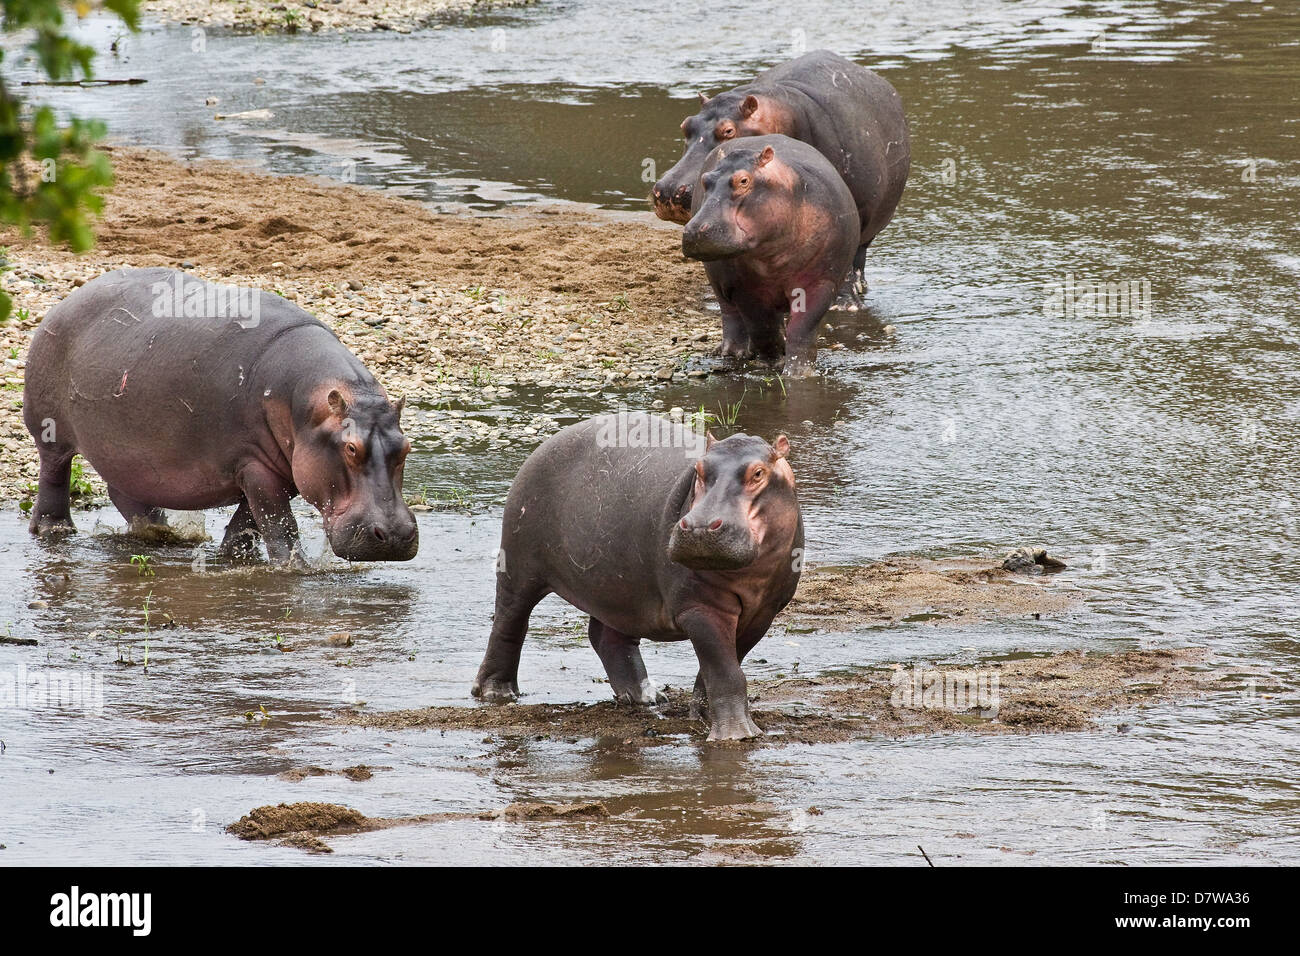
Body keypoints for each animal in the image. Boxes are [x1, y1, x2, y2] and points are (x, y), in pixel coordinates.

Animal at [22, 267, 418, 567]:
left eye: (407, 447)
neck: (306, 403)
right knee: (54, 474)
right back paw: (56, 531)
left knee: (125, 492)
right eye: (350, 449)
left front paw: (232, 555)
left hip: (129, 455)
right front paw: (296, 568)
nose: (395, 535)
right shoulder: (258, 465)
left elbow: (250, 520)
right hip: (49, 429)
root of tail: (69, 299)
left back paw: (161, 532)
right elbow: (279, 524)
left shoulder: (278, 465)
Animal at [475, 411, 800, 738]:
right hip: (519, 566)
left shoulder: (763, 612)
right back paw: (497, 692)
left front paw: (704, 715)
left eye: (758, 473)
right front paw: (737, 735)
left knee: (607, 637)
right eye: (698, 468)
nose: (699, 526)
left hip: (620, 588)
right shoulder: (699, 607)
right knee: (509, 622)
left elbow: (722, 668)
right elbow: (726, 672)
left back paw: (646, 697)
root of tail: (545, 445)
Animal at [681, 134, 863, 374]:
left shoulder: (822, 282)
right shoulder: (744, 287)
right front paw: (772, 361)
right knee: (731, 315)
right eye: (705, 180)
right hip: (720, 282)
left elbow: (802, 328)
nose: (694, 230)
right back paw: (735, 352)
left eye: (743, 181)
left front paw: (799, 372)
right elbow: (762, 327)